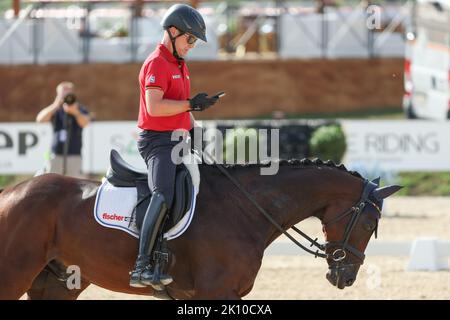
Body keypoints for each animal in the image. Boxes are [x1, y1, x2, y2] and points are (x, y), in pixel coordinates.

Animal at [0, 160, 400, 300]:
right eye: (369, 223)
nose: (345, 277)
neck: (244, 208)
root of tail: (11, 191)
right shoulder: (214, 292)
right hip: (14, 275)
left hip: (58, 284)